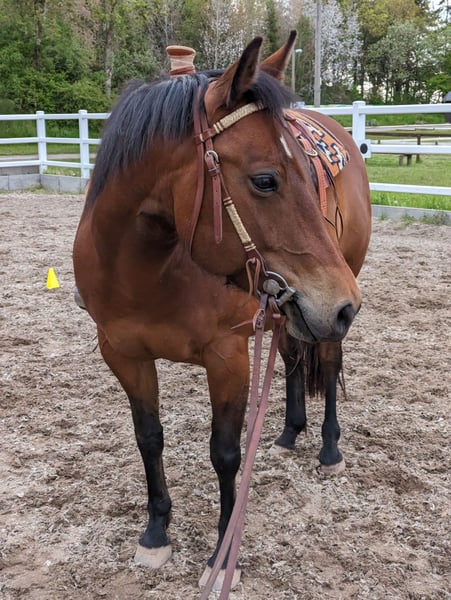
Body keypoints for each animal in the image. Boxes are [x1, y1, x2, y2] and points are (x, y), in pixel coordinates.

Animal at [73, 32, 371, 593]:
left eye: (304, 173)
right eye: (265, 180)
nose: (344, 303)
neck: (149, 267)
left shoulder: (228, 355)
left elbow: (225, 453)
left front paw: (221, 553)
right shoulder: (122, 354)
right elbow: (149, 438)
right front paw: (156, 532)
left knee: (327, 361)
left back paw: (328, 448)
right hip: (291, 313)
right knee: (293, 357)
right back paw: (289, 433)